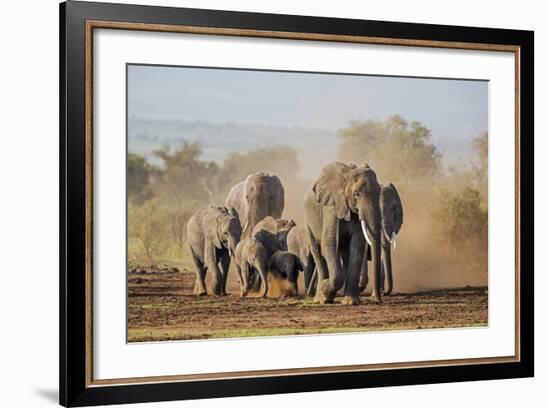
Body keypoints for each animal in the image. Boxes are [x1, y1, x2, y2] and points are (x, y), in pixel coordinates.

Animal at [306, 161, 384, 304]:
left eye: (379, 192)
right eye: (357, 194)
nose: (377, 301)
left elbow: (357, 246)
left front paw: (351, 302)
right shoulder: (331, 207)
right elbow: (329, 243)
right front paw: (325, 288)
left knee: (345, 253)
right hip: (308, 222)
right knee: (318, 253)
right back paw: (321, 299)